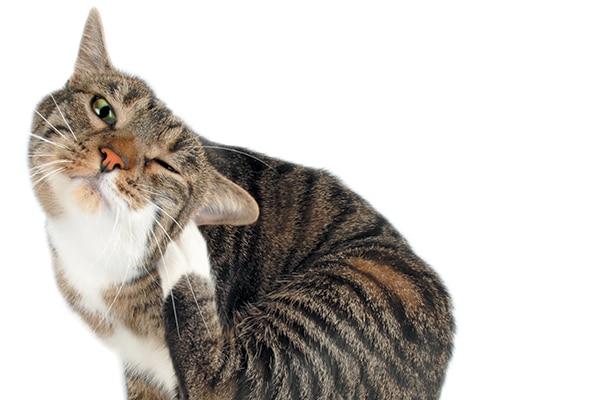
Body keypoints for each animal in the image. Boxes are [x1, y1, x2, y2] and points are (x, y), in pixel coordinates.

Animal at [27, 9, 450, 400]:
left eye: (165, 166)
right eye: (103, 109)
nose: (112, 158)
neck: (93, 251)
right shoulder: (142, 374)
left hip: (354, 288)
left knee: (224, 382)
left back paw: (187, 248)